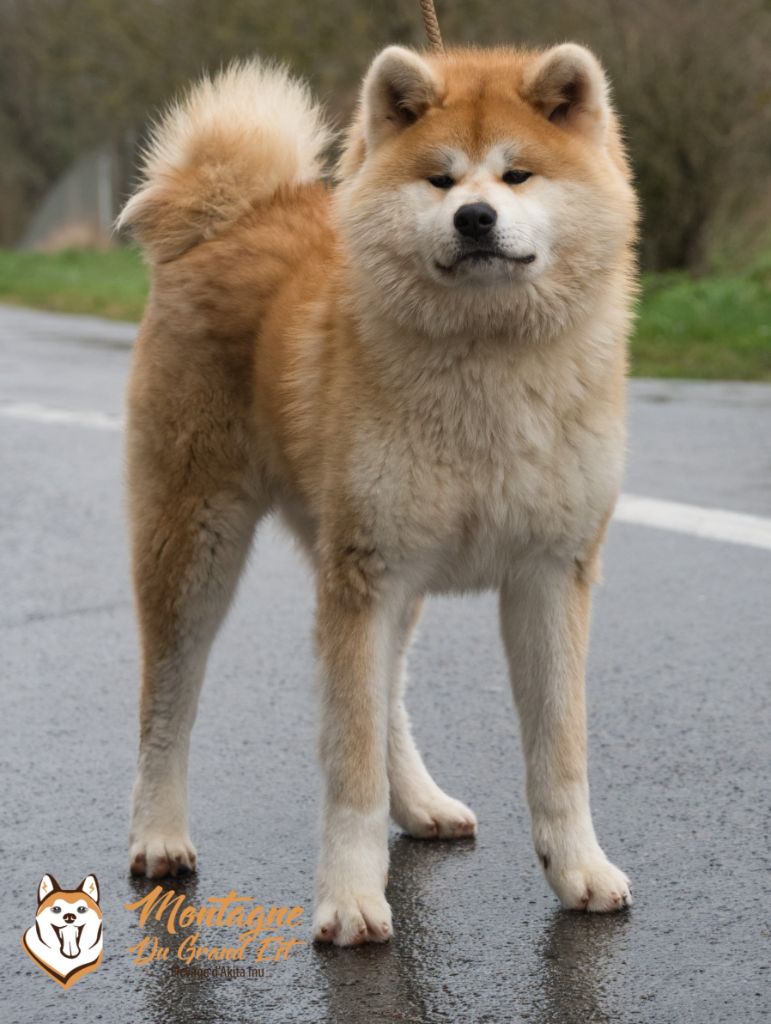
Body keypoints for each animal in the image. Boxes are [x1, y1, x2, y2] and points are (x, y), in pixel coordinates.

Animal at [118, 41, 638, 946]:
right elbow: (348, 765)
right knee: (167, 703)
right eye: (439, 179)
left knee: (387, 693)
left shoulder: (546, 573)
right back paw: (158, 834)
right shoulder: (367, 571)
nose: (474, 219)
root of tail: (232, 215)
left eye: (518, 174)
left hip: (383, 569)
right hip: (197, 545)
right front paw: (352, 898)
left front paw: (578, 869)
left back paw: (420, 803)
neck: (486, 362)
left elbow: (559, 754)